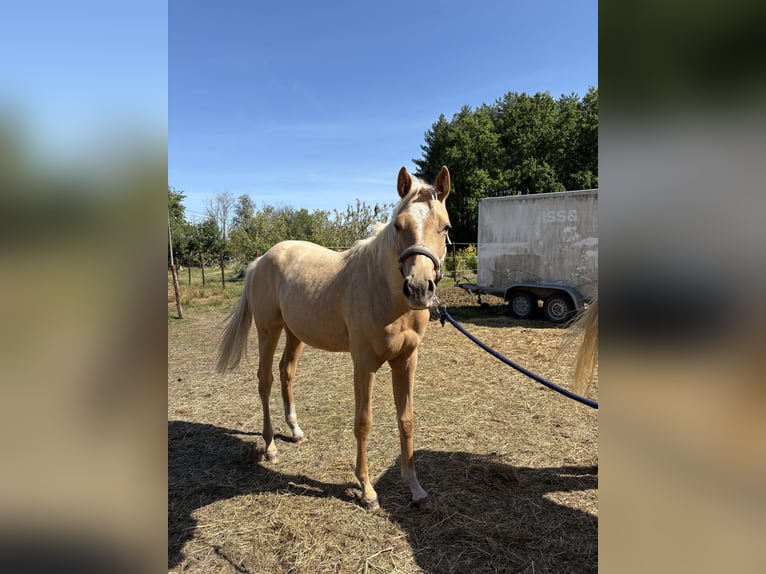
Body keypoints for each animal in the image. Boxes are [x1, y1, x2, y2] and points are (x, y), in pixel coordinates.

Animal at [217, 166, 452, 510]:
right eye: (398, 225)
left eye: (445, 227)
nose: (419, 288)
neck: (385, 293)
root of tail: (261, 260)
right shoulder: (364, 363)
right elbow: (363, 422)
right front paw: (367, 490)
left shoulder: (406, 360)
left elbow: (406, 420)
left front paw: (415, 487)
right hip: (268, 330)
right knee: (265, 380)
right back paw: (271, 447)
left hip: (295, 333)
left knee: (286, 372)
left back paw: (296, 430)